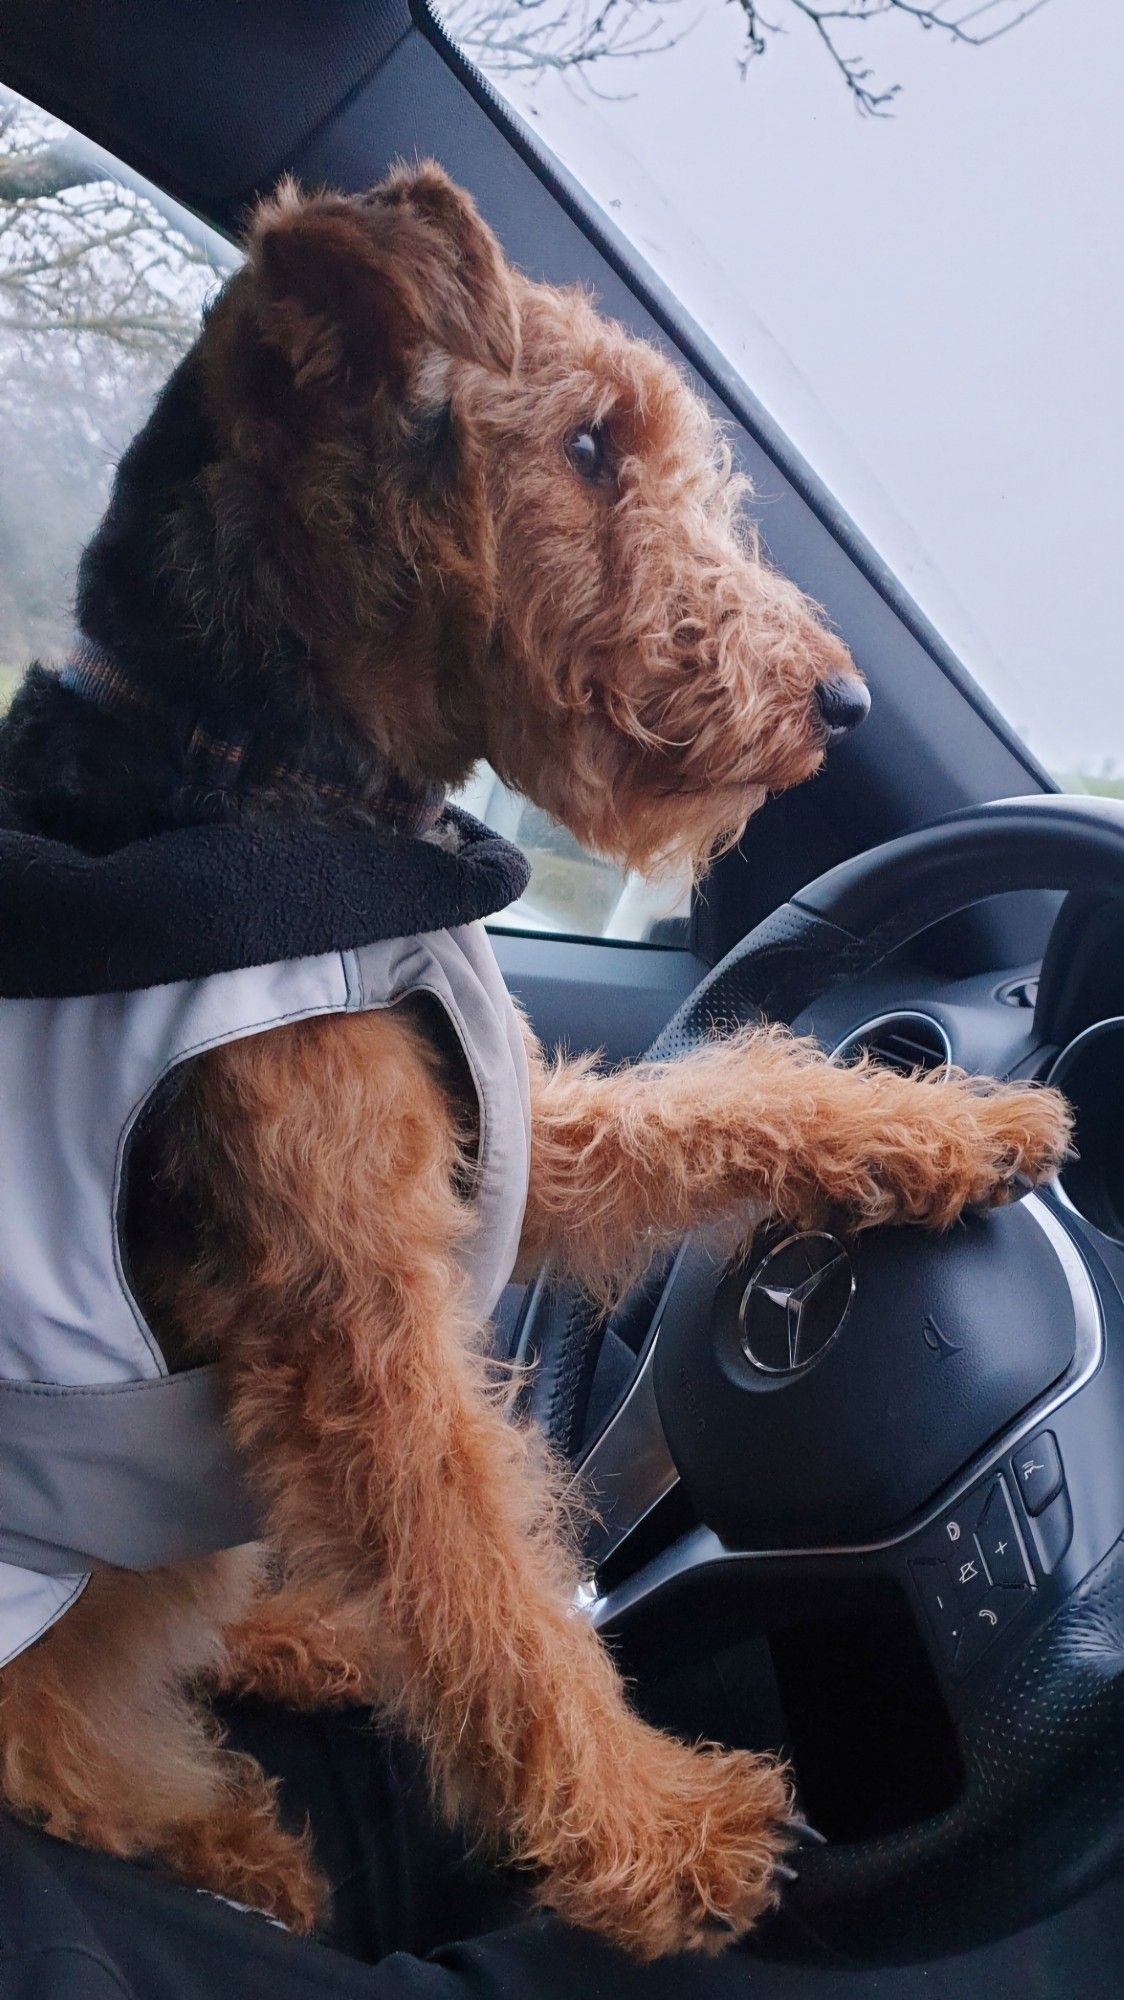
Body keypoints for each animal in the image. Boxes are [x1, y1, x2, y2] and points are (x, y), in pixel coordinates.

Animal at [0, 168, 1064, 1952]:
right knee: (79, 1757)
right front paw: (669, 1834)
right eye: (584, 443)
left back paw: (310, 1634)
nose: (839, 701)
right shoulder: (361, 1328)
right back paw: (238, 1845)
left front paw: (958, 1129)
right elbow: (491, 1595)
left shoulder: (494, 1137)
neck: (262, 777)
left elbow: (717, 1101)